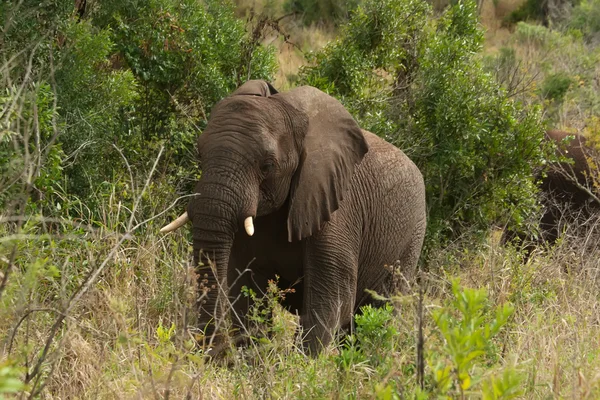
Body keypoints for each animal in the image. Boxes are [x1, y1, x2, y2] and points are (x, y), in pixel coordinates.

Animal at [159, 79, 426, 354]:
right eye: (199, 154)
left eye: (267, 166)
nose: (211, 353)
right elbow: (246, 292)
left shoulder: (337, 204)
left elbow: (332, 301)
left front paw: (301, 363)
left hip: (412, 236)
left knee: (379, 310)